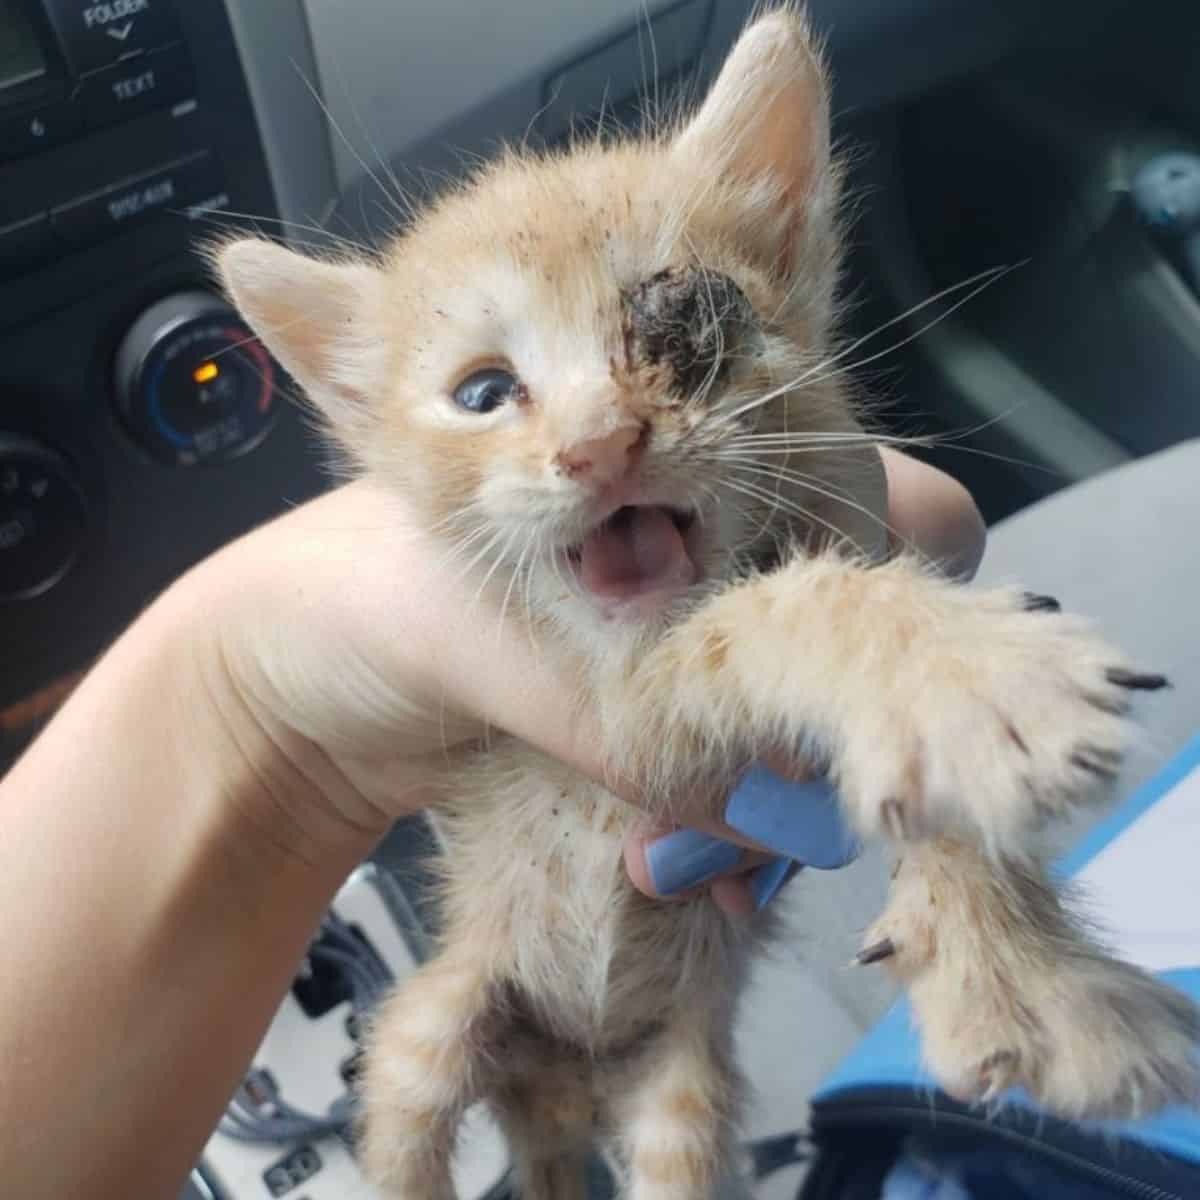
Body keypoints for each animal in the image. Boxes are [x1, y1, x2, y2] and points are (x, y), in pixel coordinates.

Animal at [218, 4, 1200, 1195]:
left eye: (686, 331)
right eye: (484, 393)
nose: (599, 446)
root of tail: (565, 1077)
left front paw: (1022, 969)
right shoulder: (618, 712)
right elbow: (780, 613)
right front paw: (963, 679)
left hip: (680, 1091)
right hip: (431, 1024)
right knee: (411, 1112)